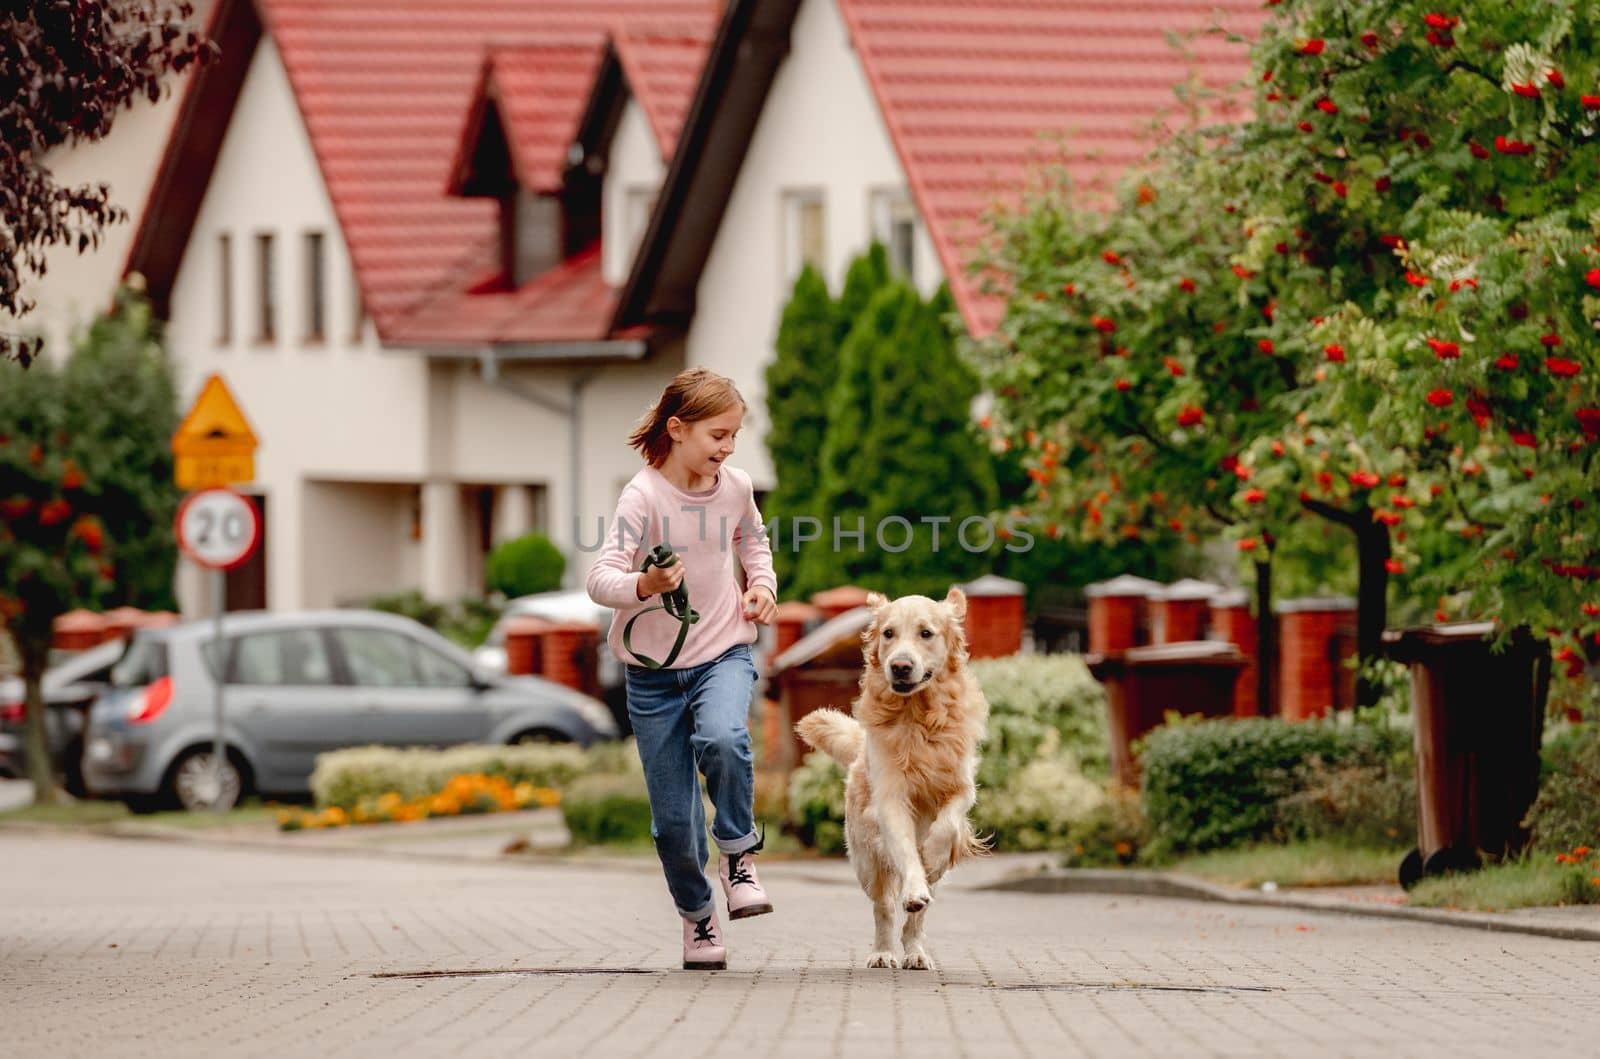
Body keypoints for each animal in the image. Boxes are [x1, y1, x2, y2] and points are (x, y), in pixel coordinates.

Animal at [790, 588, 979, 972]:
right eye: (889, 633)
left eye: (926, 633)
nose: (900, 666)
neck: (918, 714)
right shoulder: (890, 800)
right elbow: (906, 853)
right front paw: (913, 886)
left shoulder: (962, 786)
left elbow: (946, 825)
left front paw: (932, 850)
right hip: (866, 859)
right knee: (884, 909)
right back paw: (883, 951)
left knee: (917, 918)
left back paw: (916, 951)